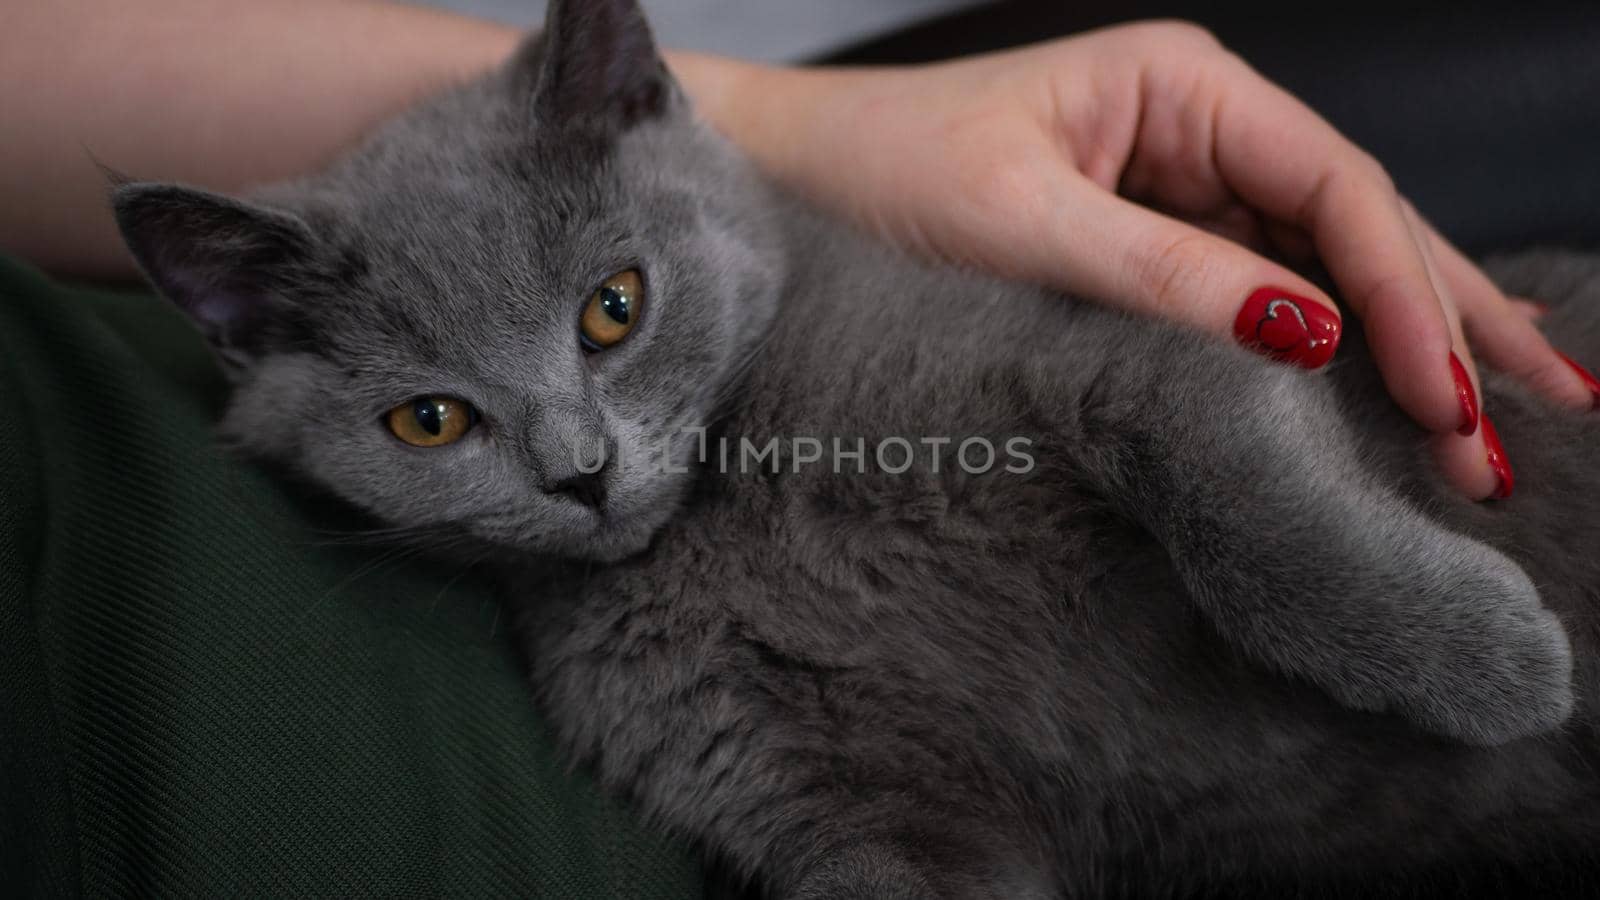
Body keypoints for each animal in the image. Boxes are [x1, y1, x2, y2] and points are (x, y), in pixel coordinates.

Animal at [112, 1, 1600, 890]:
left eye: (613, 307)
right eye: (431, 421)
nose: (580, 473)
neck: (731, 508)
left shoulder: (1158, 333)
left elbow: (1242, 500)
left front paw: (1486, 664)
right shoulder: (824, 795)